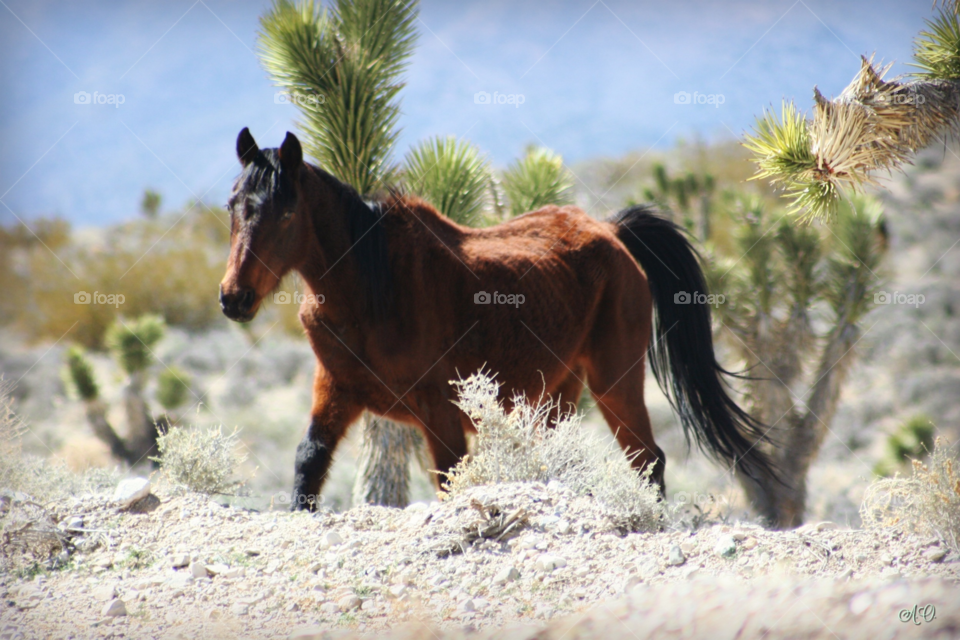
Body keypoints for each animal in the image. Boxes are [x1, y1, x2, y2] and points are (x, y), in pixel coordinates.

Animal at [219, 129, 772, 510]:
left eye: (286, 213)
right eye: (232, 206)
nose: (234, 298)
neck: (372, 286)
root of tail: (611, 232)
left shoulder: (438, 408)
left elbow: (450, 479)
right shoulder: (336, 390)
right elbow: (308, 464)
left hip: (614, 380)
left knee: (647, 461)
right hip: (559, 393)